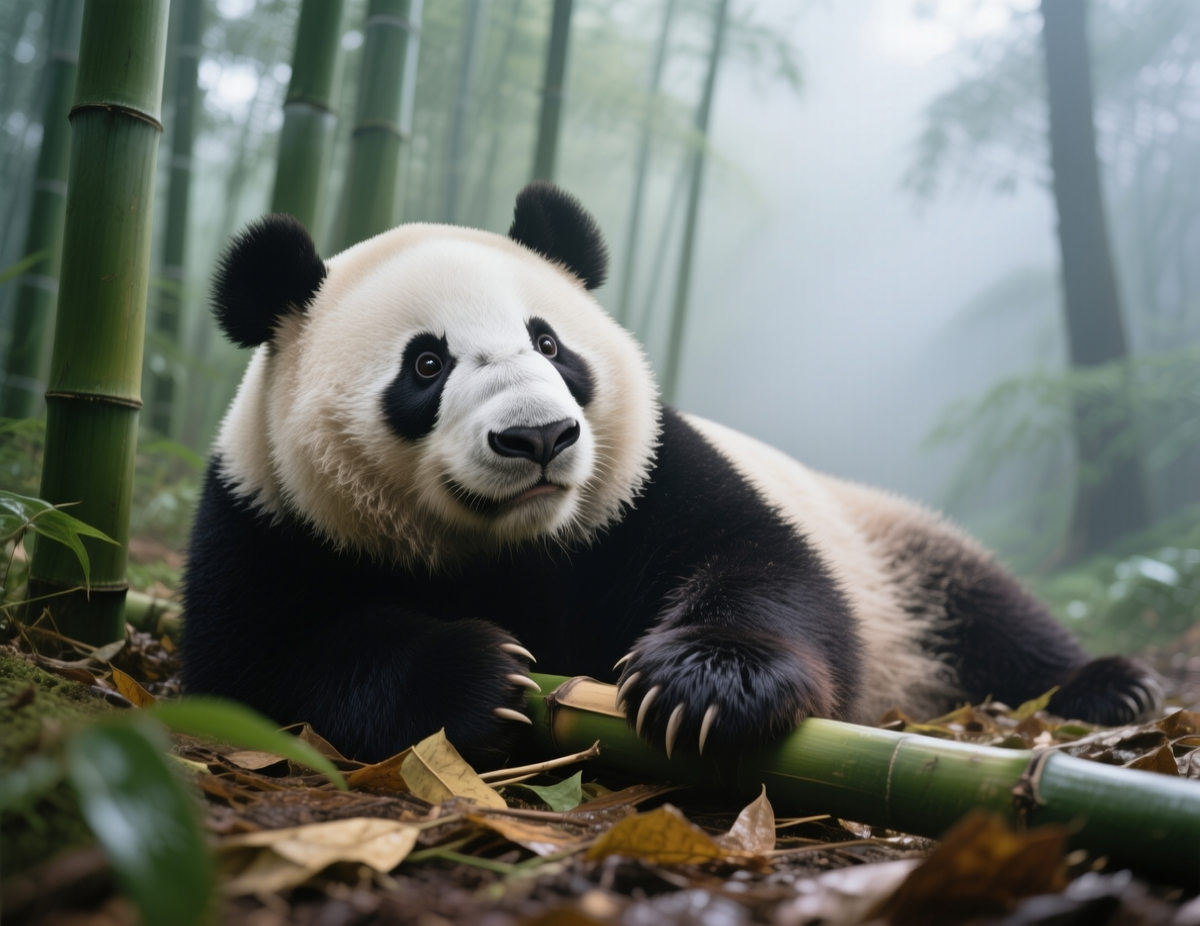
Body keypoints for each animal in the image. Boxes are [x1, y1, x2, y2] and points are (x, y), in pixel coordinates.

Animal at [182, 182, 1161, 766]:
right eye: (427, 365)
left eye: (550, 344)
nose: (539, 438)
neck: (506, 545)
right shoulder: (269, 517)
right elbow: (261, 671)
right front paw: (482, 676)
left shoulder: (640, 480)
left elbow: (763, 563)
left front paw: (707, 687)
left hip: (888, 543)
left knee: (986, 610)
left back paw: (1111, 686)